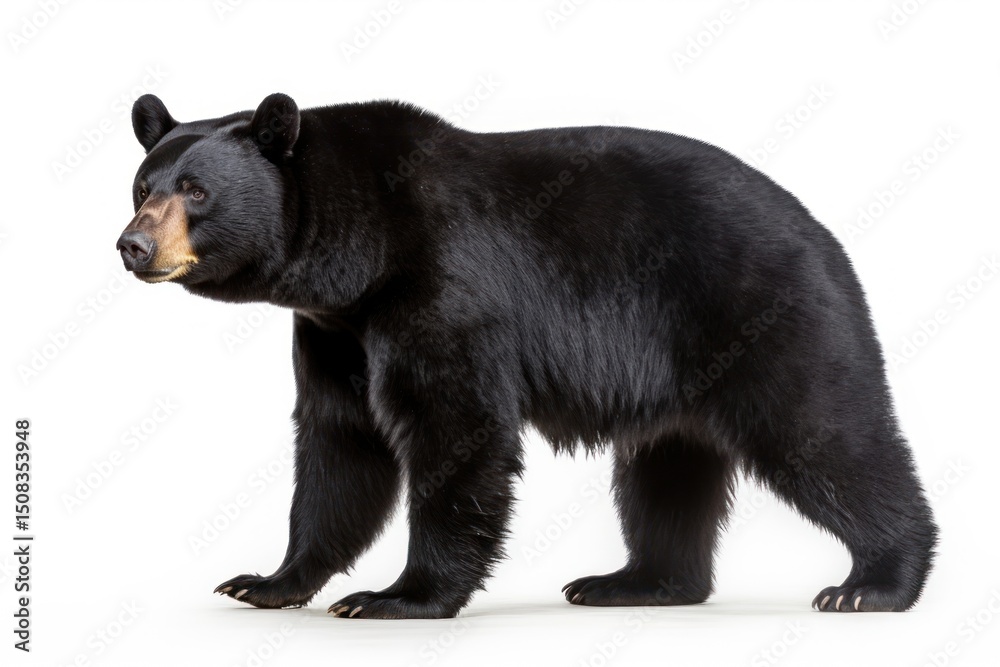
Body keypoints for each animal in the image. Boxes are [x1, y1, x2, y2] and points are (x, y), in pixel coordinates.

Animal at [117, 92, 937, 619]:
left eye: (195, 190)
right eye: (141, 186)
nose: (133, 245)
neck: (359, 256)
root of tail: (821, 231)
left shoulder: (443, 284)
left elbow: (458, 428)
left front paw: (396, 596)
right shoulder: (335, 332)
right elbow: (340, 445)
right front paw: (267, 580)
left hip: (761, 313)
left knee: (823, 433)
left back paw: (873, 581)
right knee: (665, 470)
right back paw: (634, 581)